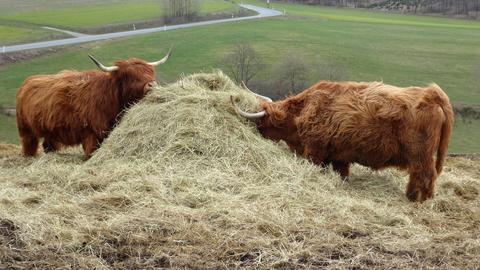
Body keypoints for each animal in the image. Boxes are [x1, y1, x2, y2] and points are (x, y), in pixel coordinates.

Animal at [15, 50, 172, 158]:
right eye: (130, 76)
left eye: (150, 72)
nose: (152, 85)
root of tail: (27, 82)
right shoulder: (91, 134)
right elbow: (91, 153)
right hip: (26, 129)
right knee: (29, 145)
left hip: (51, 131)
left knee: (49, 145)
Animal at [232, 81, 454, 201]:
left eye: (262, 123)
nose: (255, 131)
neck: (302, 112)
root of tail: (433, 94)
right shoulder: (339, 155)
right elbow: (342, 173)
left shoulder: (314, 151)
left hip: (420, 154)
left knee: (424, 175)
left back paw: (416, 199)